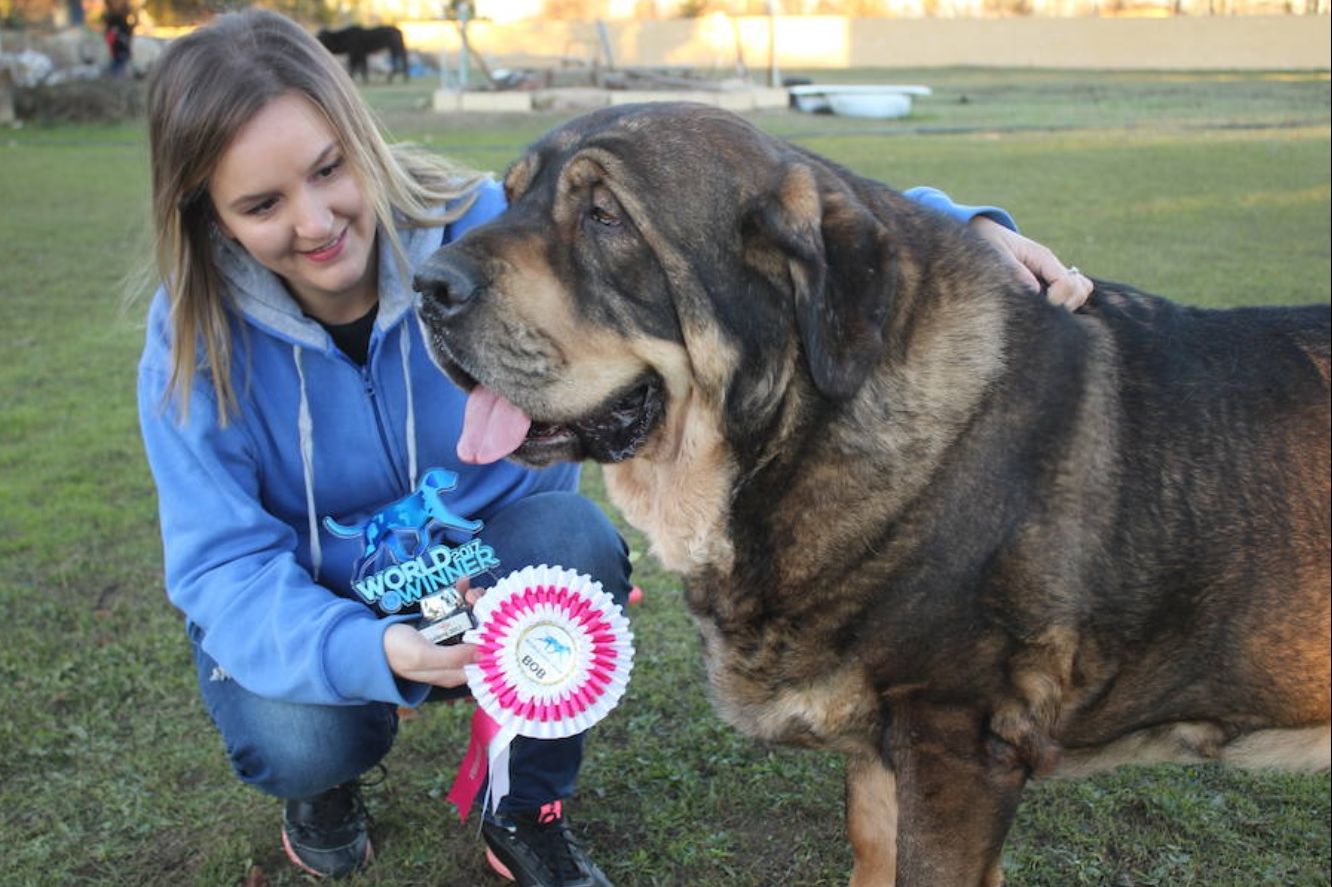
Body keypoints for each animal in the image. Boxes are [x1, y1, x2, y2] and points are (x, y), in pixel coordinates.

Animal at [410, 103, 1326, 884]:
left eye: (605, 216)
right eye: (511, 197)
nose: (428, 285)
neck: (808, 433)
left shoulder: (957, 742)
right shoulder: (884, 753)